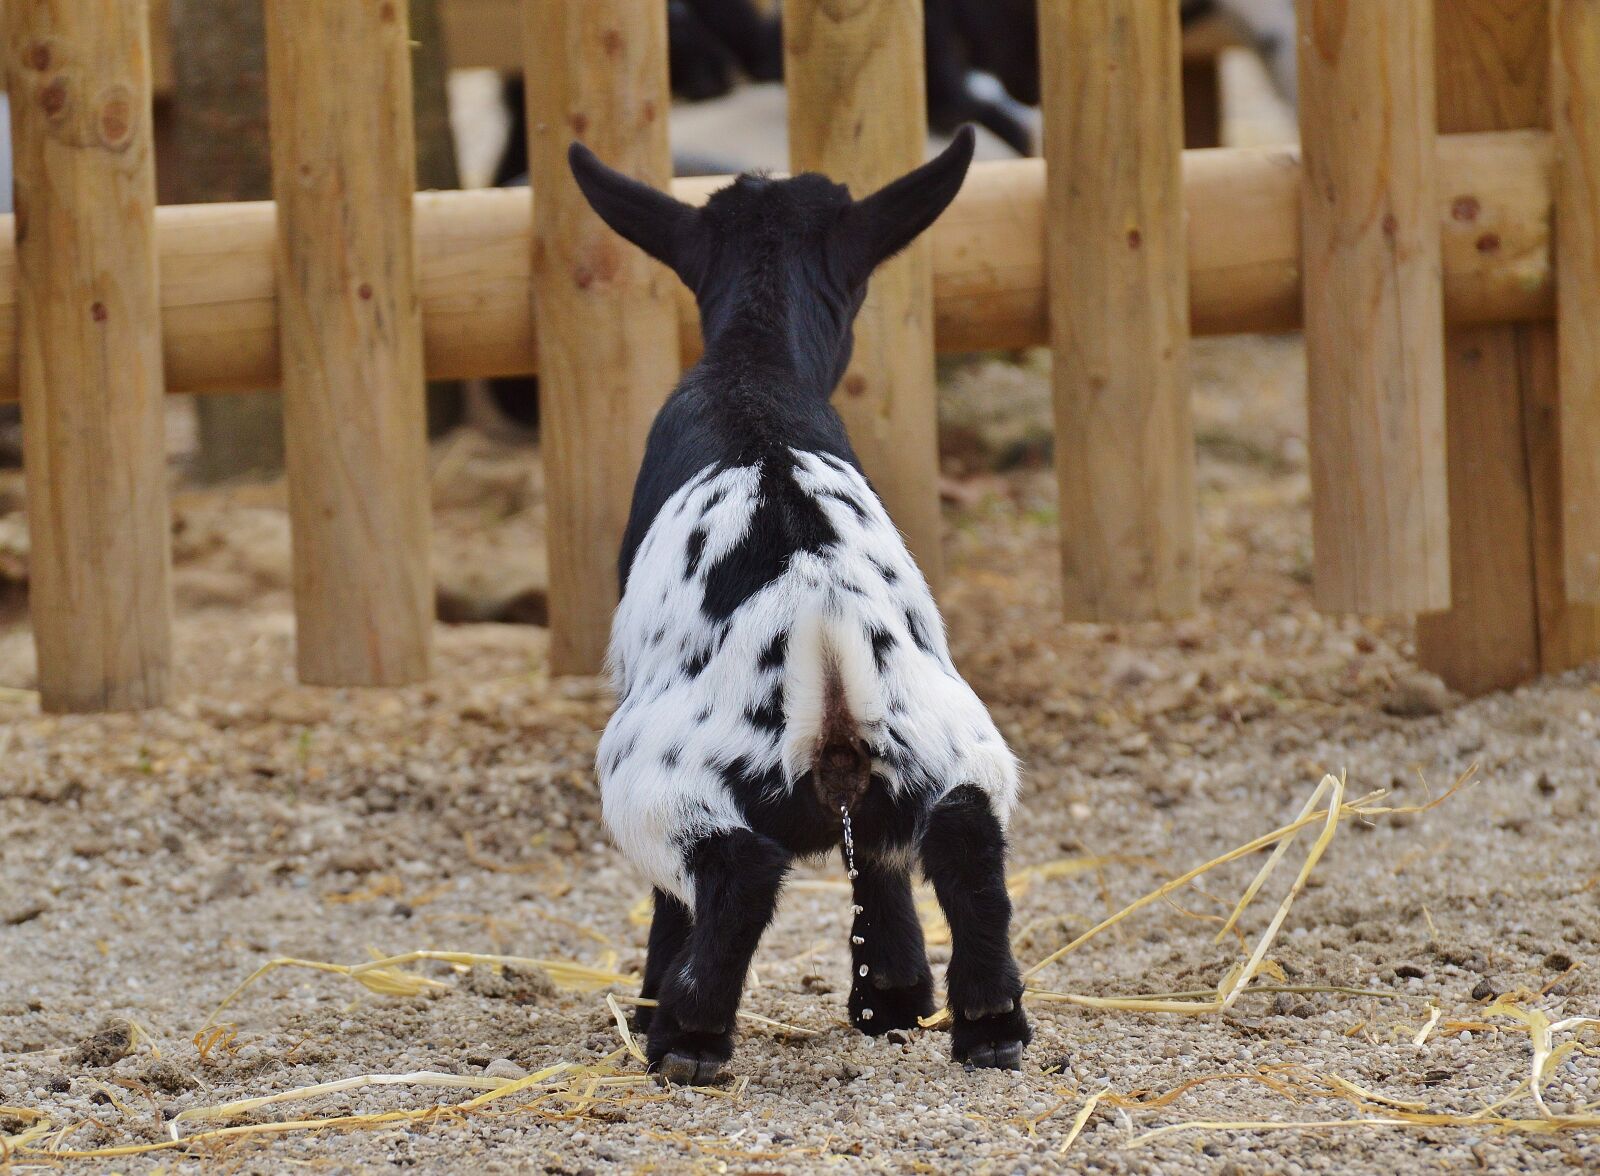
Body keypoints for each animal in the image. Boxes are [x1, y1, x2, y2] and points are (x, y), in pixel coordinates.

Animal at [570, 125, 1030, 1084]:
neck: (755, 364)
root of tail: (824, 631)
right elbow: (883, 866)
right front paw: (893, 1000)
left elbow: (674, 901)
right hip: (952, 743)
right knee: (964, 838)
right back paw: (988, 1023)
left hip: (655, 778)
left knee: (735, 869)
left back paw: (685, 1036)